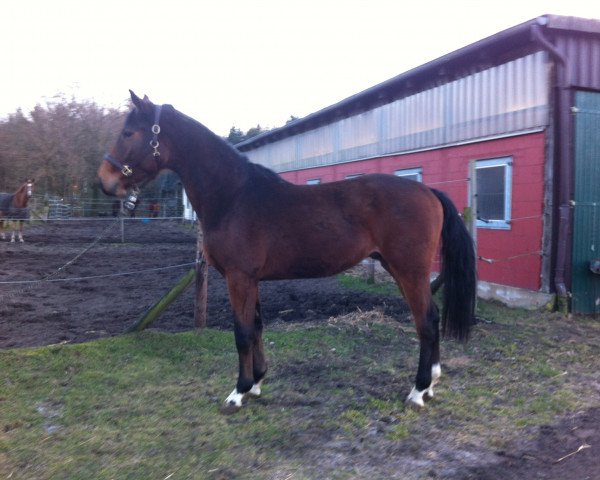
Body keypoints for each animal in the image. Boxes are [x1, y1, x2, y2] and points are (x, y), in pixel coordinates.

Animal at [97, 93, 474, 412]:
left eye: (129, 132)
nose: (105, 180)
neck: (234, 196)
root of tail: (427, 191)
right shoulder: (251, 279)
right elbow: (257, 326)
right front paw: (256, 383)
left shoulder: (238, 277)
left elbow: (242, 332)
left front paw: (238, 392)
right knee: (431, 319)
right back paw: (430, 384)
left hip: (409, 270)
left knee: (426, 322)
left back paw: (418, 390)